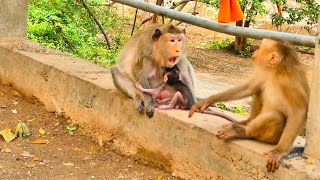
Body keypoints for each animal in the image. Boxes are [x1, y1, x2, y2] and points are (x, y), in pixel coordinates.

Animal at [189, 38, 308, 172]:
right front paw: (207, 101)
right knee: (259, 90)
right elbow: (249, 88)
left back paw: (242, 131)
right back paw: (247, 122)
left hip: (275, 137)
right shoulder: (265, 72)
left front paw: (279, 151)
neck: (275, 71)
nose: (255, 51)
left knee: (275, 117)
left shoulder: (289, 81)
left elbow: (299, 111)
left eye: (261, 48)